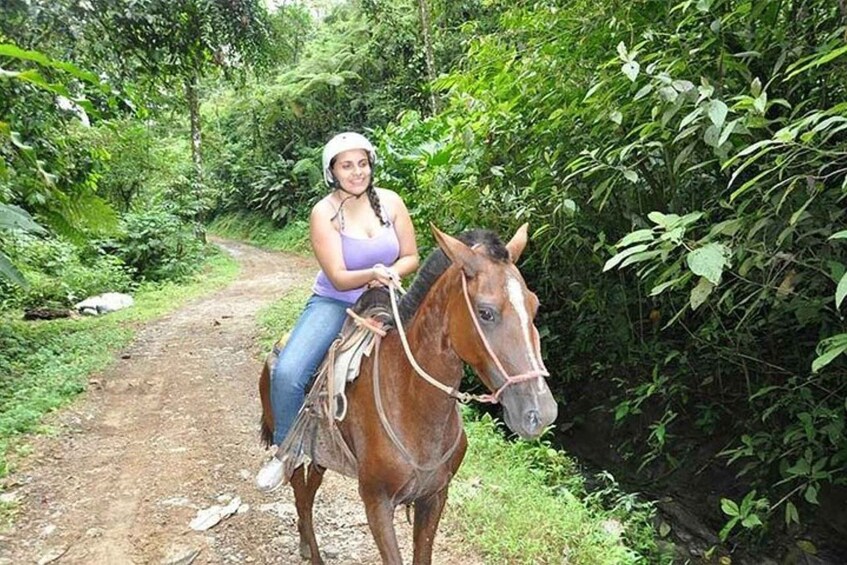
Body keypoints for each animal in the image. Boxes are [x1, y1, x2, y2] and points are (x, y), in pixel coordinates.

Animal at [262, 225, 560, 564]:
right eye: (485, 313)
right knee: (300, 494)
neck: (413, 402)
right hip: (299, 453)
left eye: (534, 306)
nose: (541, 412)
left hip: (321, 459)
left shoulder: (434, 496)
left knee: (308, 495)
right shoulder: (376, 503)